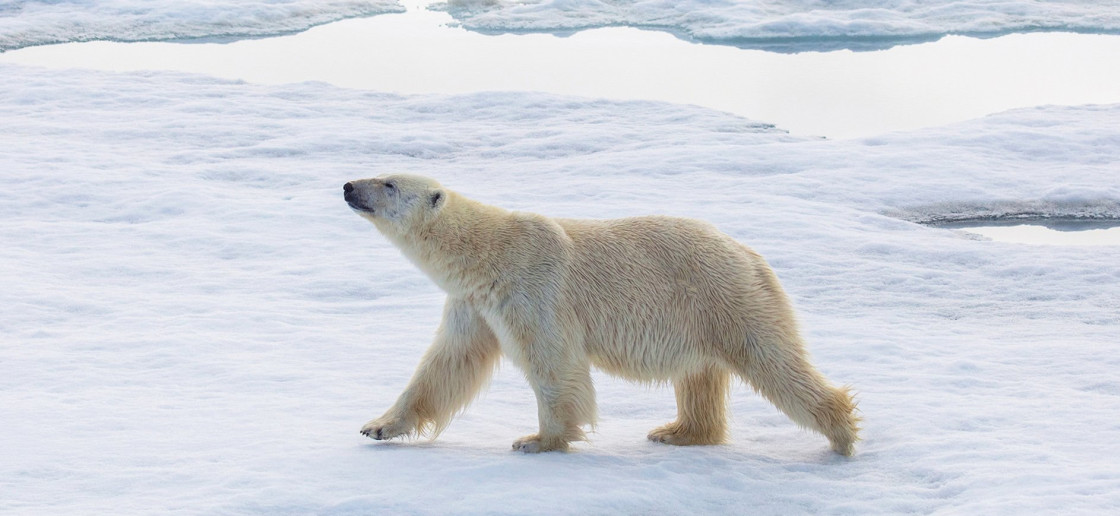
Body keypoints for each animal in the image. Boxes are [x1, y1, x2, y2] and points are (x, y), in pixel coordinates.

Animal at [344, 174, 859, 455]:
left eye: (389, 183)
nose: (349, 186)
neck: (489, 253)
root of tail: (752, 254)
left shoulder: (533, 290)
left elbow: (554, 364)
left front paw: (537, 439)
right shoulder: (473, 305)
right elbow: (446, 365)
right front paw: (378, 425)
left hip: (724, 297)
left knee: (773, 361)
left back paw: (841, 434)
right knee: (699, 376)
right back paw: (676, 431)